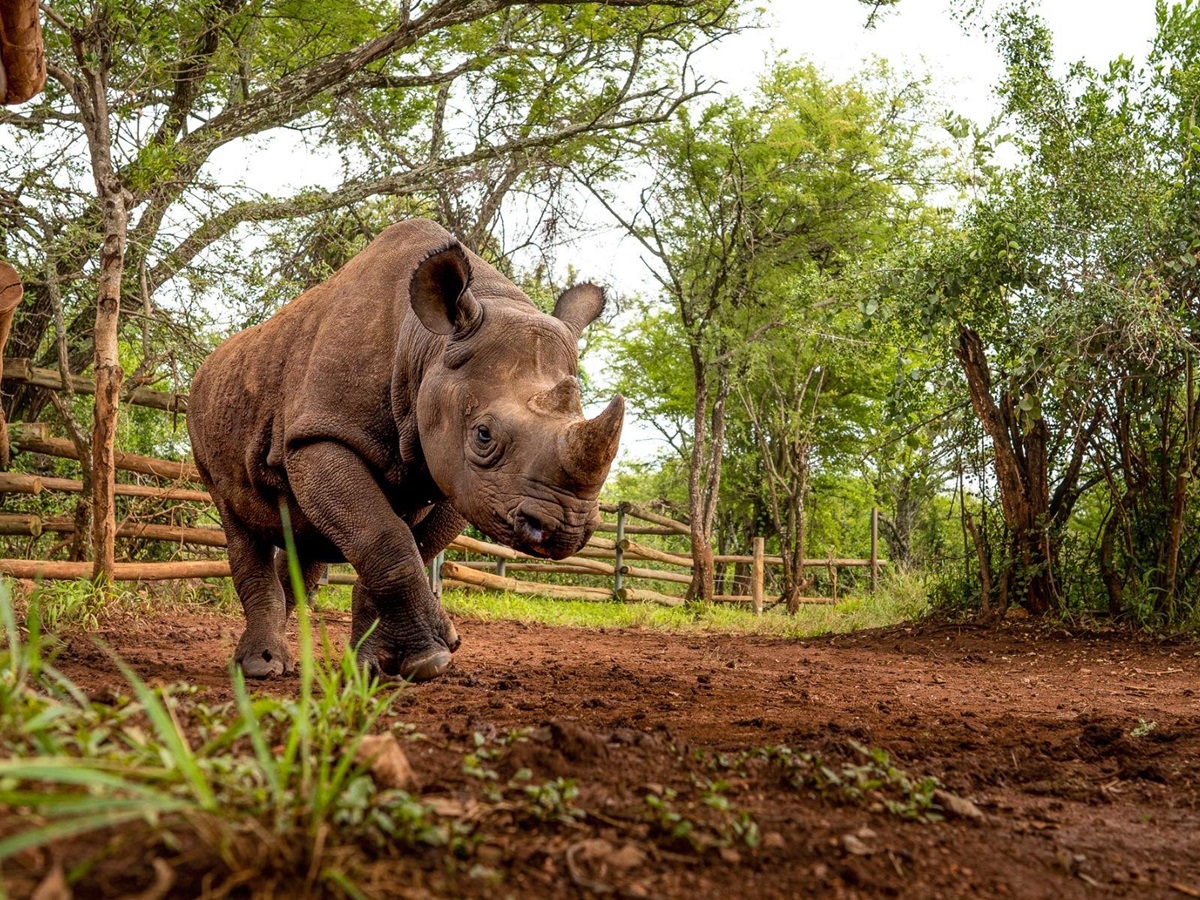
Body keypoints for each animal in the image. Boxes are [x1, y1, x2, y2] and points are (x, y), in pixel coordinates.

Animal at [188, 219, 623, 681]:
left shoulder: (456, 476)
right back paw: (260, 667)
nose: (564, 529)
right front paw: (429, 659)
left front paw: (376, 664)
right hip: (205, 416)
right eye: (483, 435)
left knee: (305, 538)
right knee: (236, 521)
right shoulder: (321, 436)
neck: (427, 346)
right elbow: (385, 538)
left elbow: (405, 546)